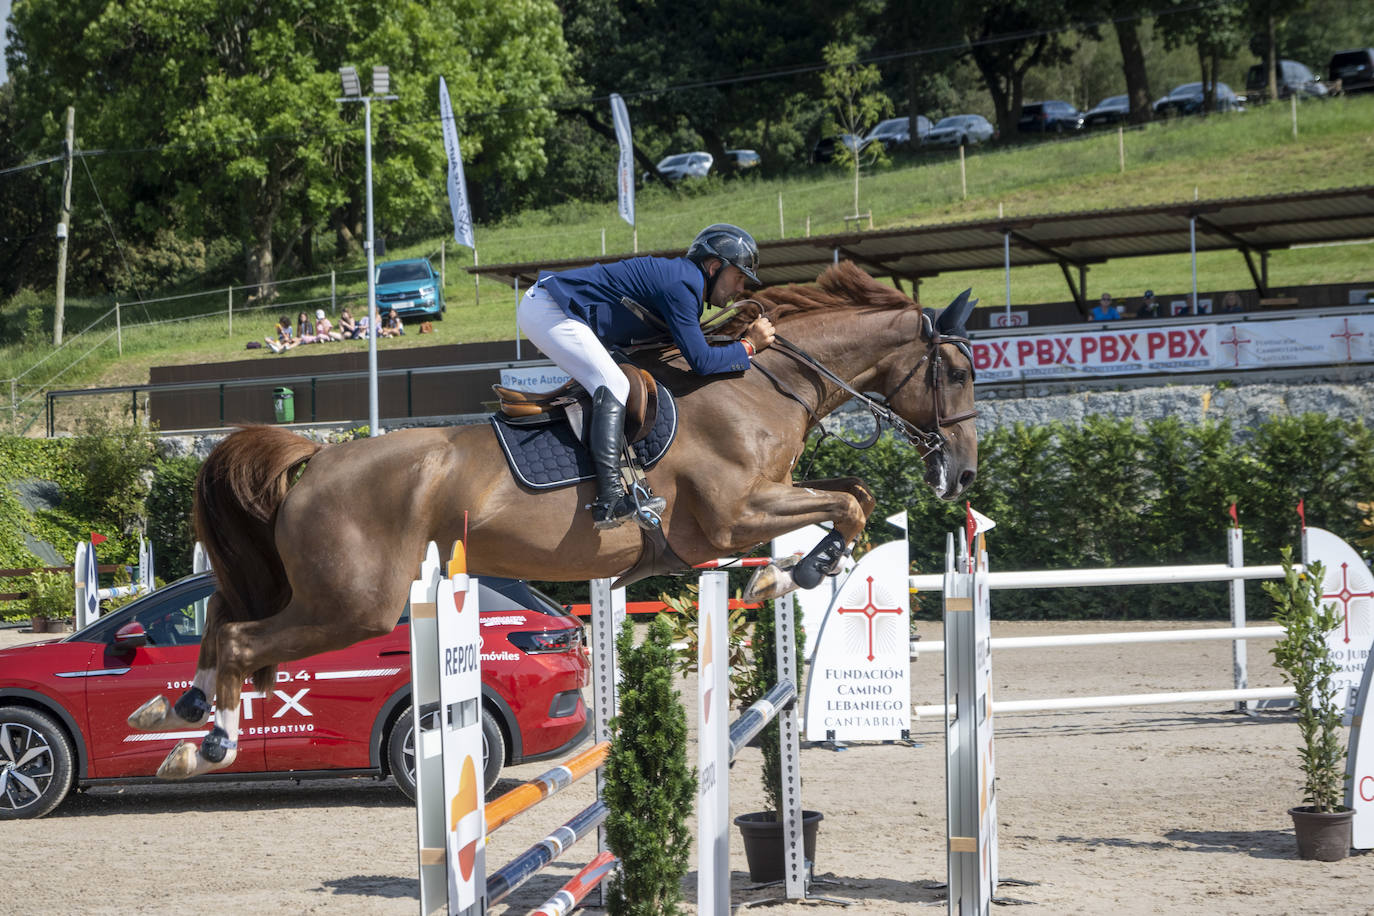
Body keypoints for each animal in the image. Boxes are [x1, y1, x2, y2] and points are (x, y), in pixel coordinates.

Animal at [129, 260, 978, 780]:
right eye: (961, 371)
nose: (964, 473)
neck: (758, 385)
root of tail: (317, 458)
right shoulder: (732, 517)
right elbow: (849, 503)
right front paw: (792, 573)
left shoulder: (767, 497)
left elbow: (854, 492)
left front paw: (791, 572)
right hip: (353, 603)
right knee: (242, 637)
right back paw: (205, 745)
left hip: (319, 594)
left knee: (221, 618)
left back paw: (179, 709)